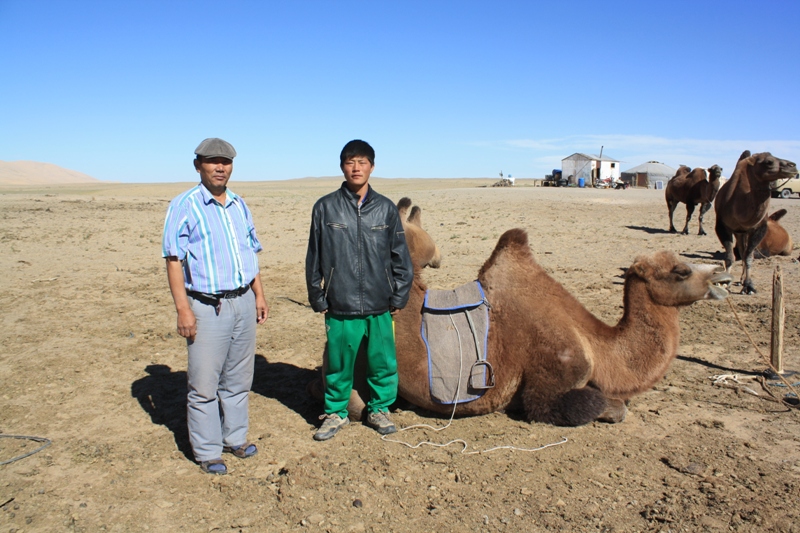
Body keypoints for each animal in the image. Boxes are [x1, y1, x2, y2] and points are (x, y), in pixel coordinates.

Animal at [716, 151, 796, 296]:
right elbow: (730, 256)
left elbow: (749, 256)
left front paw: (748, 286)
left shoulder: (759, 228)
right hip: (739, 233)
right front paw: (725, 283)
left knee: (744, 252)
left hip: (745, 233)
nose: (793, 166)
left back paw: (742, 280)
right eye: (769, 162)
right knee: (741, 250)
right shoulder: (722, 226)